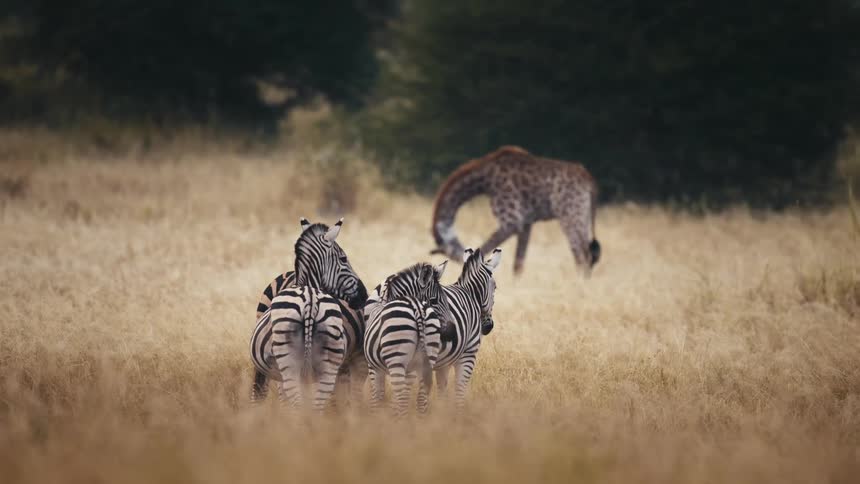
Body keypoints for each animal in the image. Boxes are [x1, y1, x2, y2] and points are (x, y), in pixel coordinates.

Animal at [363, 261, 449, 416]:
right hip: (426, 357)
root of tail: (418, 308)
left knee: (402, 398)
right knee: (420, 398)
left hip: (396, 358)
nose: (451, 329)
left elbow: (377, 397)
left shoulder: (373, 367)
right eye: (434, 301)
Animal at [430, 146, 600, 276]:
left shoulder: (512, 222)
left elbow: (485, 249)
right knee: (589, 254)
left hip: (569, 215)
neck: (485, 178)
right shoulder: (526, 223)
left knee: (582, 255)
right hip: (582, 215)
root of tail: (590, 181)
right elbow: (518, 263)